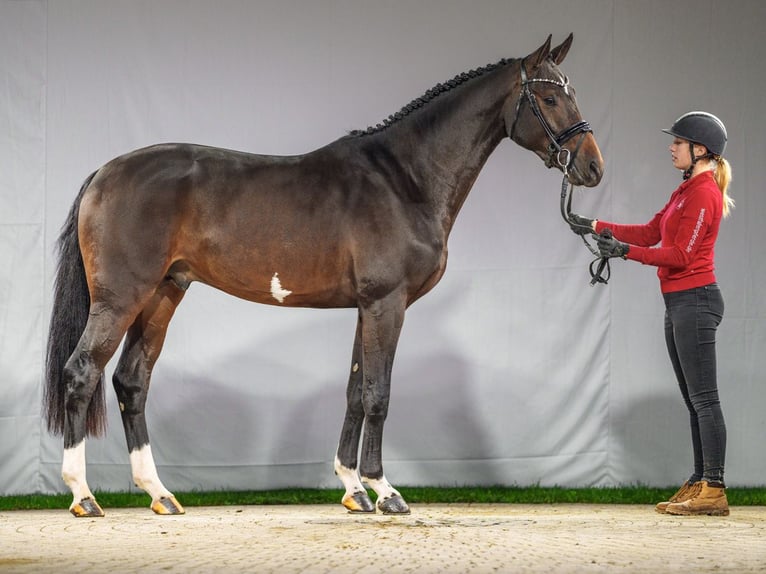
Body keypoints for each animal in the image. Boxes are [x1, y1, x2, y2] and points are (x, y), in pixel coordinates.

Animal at [43, 33, 608, 520]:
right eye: (550, 99)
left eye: (573, 92)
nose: (593, 169)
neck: (402, 178)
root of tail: (104, 173)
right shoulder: (387, 302)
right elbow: (379, 393)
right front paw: (386, 491)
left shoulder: (366, 307)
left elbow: (356, 391)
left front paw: (354, 490)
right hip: (121, 298)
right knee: (81, 372)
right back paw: (83, 496)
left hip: (163, 293)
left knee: (130, 380)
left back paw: (160, 494)